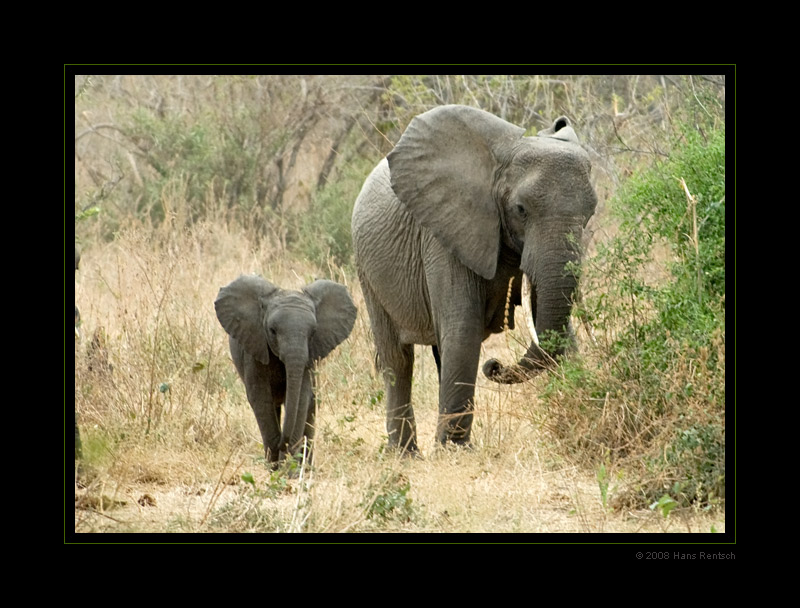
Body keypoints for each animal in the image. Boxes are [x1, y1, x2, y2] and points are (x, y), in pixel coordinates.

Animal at [217, 276, 358, 466]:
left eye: (313, 332)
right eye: (272, 331)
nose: (283, 442)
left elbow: (302, 399)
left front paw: (289, 468)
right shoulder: (254, 350)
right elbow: (260, 399)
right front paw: (275, 466)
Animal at [354, 104, 596, 454]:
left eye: (590, 214)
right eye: (521, 209)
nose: (494, 366)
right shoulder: (444, 235)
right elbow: (463, 328)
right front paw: (453, 452)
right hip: (367, 269)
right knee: (397, 359)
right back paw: (404, 454)